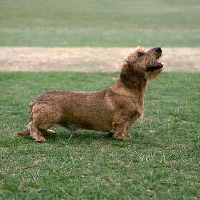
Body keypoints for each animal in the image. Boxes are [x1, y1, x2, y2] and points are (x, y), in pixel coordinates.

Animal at [17, 46, 164, 141]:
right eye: (139, 54)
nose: (159, 48)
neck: (128, 90)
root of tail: (35, 100)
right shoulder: (121, 119)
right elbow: (120, 128)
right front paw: (122, 137)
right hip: (50, 117)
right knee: (32, 126)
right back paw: (38, 137)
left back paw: (48, 132)